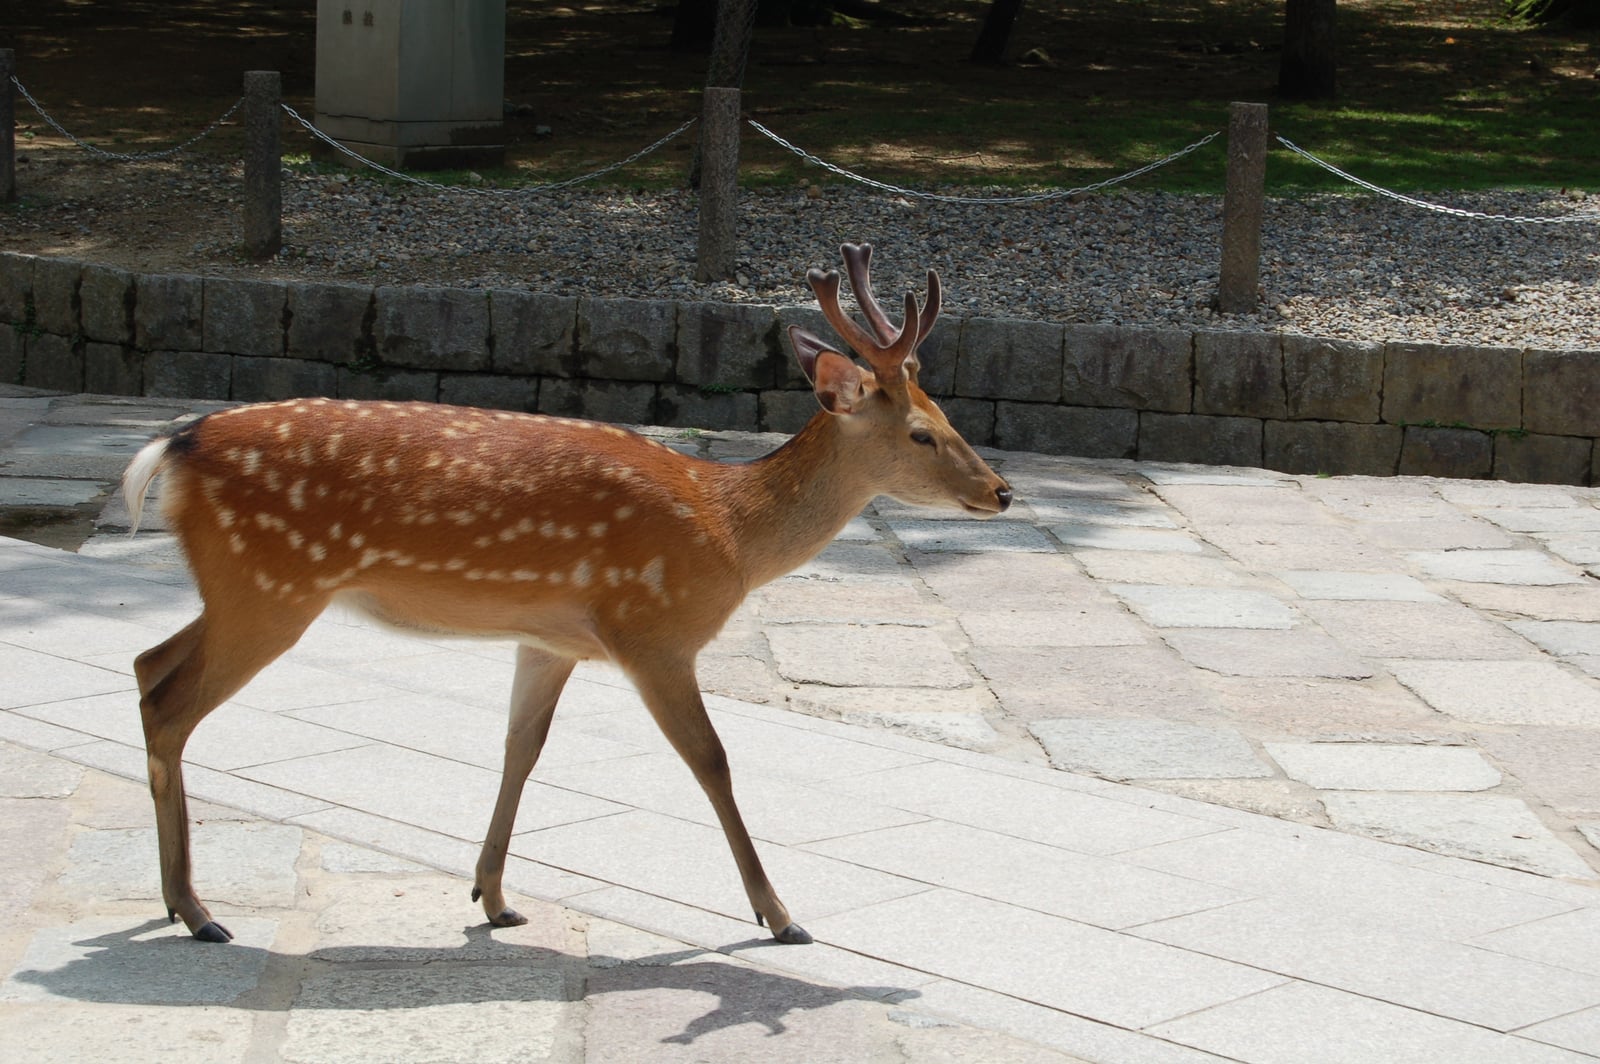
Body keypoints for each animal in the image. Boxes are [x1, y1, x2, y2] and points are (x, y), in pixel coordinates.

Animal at [122, 243, 1012, 947]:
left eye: (946, 412)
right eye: (921, 434)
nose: (1001, 491)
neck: (729, 532)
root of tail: (173, 444)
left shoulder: (550, 640)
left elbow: (522, 748)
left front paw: (493, 897)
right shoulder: (653, 631)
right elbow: (712, 760)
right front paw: (780, 915)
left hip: (236, 589)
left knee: (145, 664)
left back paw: (169, 901)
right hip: (270, 586)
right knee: (170, 703)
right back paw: (197, 910)